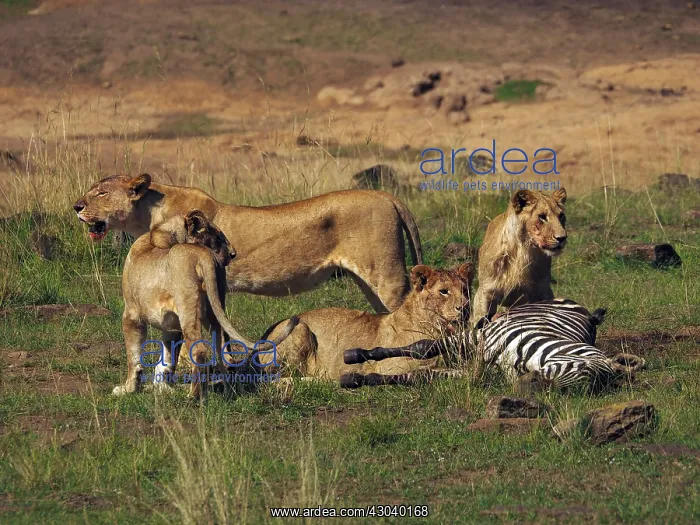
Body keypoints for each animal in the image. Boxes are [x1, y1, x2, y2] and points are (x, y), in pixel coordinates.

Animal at [73, 173, 422, 313]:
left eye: (101, 193)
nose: (76, 206)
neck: (150, 212)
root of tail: (388, 196)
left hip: (386, 275)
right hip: (371, 282)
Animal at [115, 209, 297, 399]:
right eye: (217, 236)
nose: (233, 254)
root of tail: (202, 254)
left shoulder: (131, 315)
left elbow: (134, 357)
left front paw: (128, 389)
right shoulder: (171, 326)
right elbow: (167, 359)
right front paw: (162, 387)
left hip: (188, 309)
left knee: (199, 350)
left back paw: (193, 396)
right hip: (214, 311)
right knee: (221, 351)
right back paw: (227, 391)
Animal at [260, 263, 474, 384]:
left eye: (465, 290)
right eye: (444, 291)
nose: (465, 307)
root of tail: (265, 335)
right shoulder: (390, 367)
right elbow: (428, 369)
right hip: (299, 327)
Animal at [470, 187, 568, 323]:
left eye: (561, 216)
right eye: (542, 217)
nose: (562, 238)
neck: (523, 252)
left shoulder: (540, 293)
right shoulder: (484, 293)